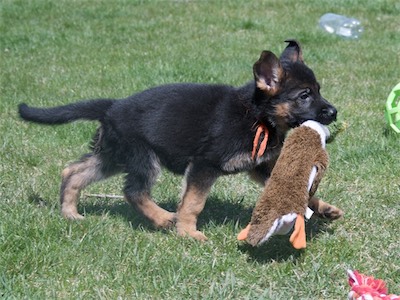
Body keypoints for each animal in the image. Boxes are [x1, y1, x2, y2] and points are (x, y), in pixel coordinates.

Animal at [18, 40, 342, 241]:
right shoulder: (204, 165)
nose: (334, 112)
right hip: (142, 156)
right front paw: (188, 233)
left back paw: (70, 213)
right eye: (304, 95)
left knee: (73, 172)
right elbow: (193, 202)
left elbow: (301, 190)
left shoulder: (261, 167)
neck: (256, 115)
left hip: (112, 156)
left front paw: (324, 208)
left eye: (319, 89)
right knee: (133, 191)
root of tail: (112, 107)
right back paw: (163, 219)